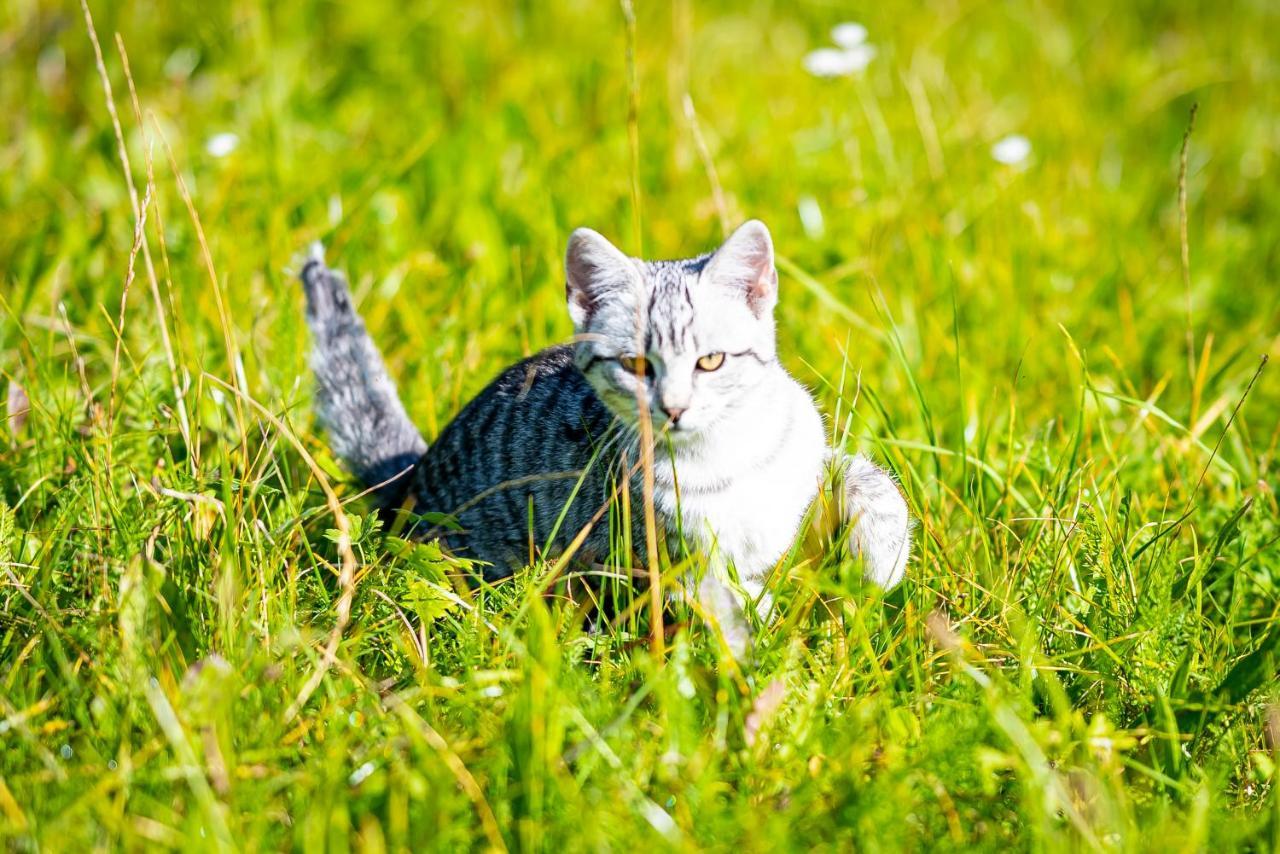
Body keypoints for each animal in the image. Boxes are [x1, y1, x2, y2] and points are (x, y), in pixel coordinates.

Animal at [302, 220, 911, 655]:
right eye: (637, 365)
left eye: (710, 361)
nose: (674, 408)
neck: (724, 455)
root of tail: (414, 473)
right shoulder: (671, 555)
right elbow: (732, 603)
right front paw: (771, 641)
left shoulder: (804, 450)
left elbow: (871, 482)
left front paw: (882, 559)